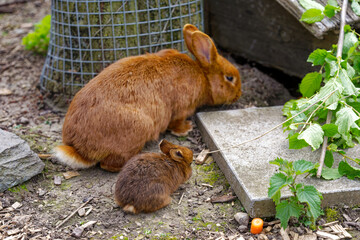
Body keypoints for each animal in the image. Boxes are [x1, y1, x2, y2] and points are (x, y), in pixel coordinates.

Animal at [54, 23, 242, 172]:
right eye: (229, 78)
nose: (239, 94)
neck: (203, 75)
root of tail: (78, 148)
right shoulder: (181, 109)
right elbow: (176, 122)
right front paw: (186, 129)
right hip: (139, 128)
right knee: (108, 165)